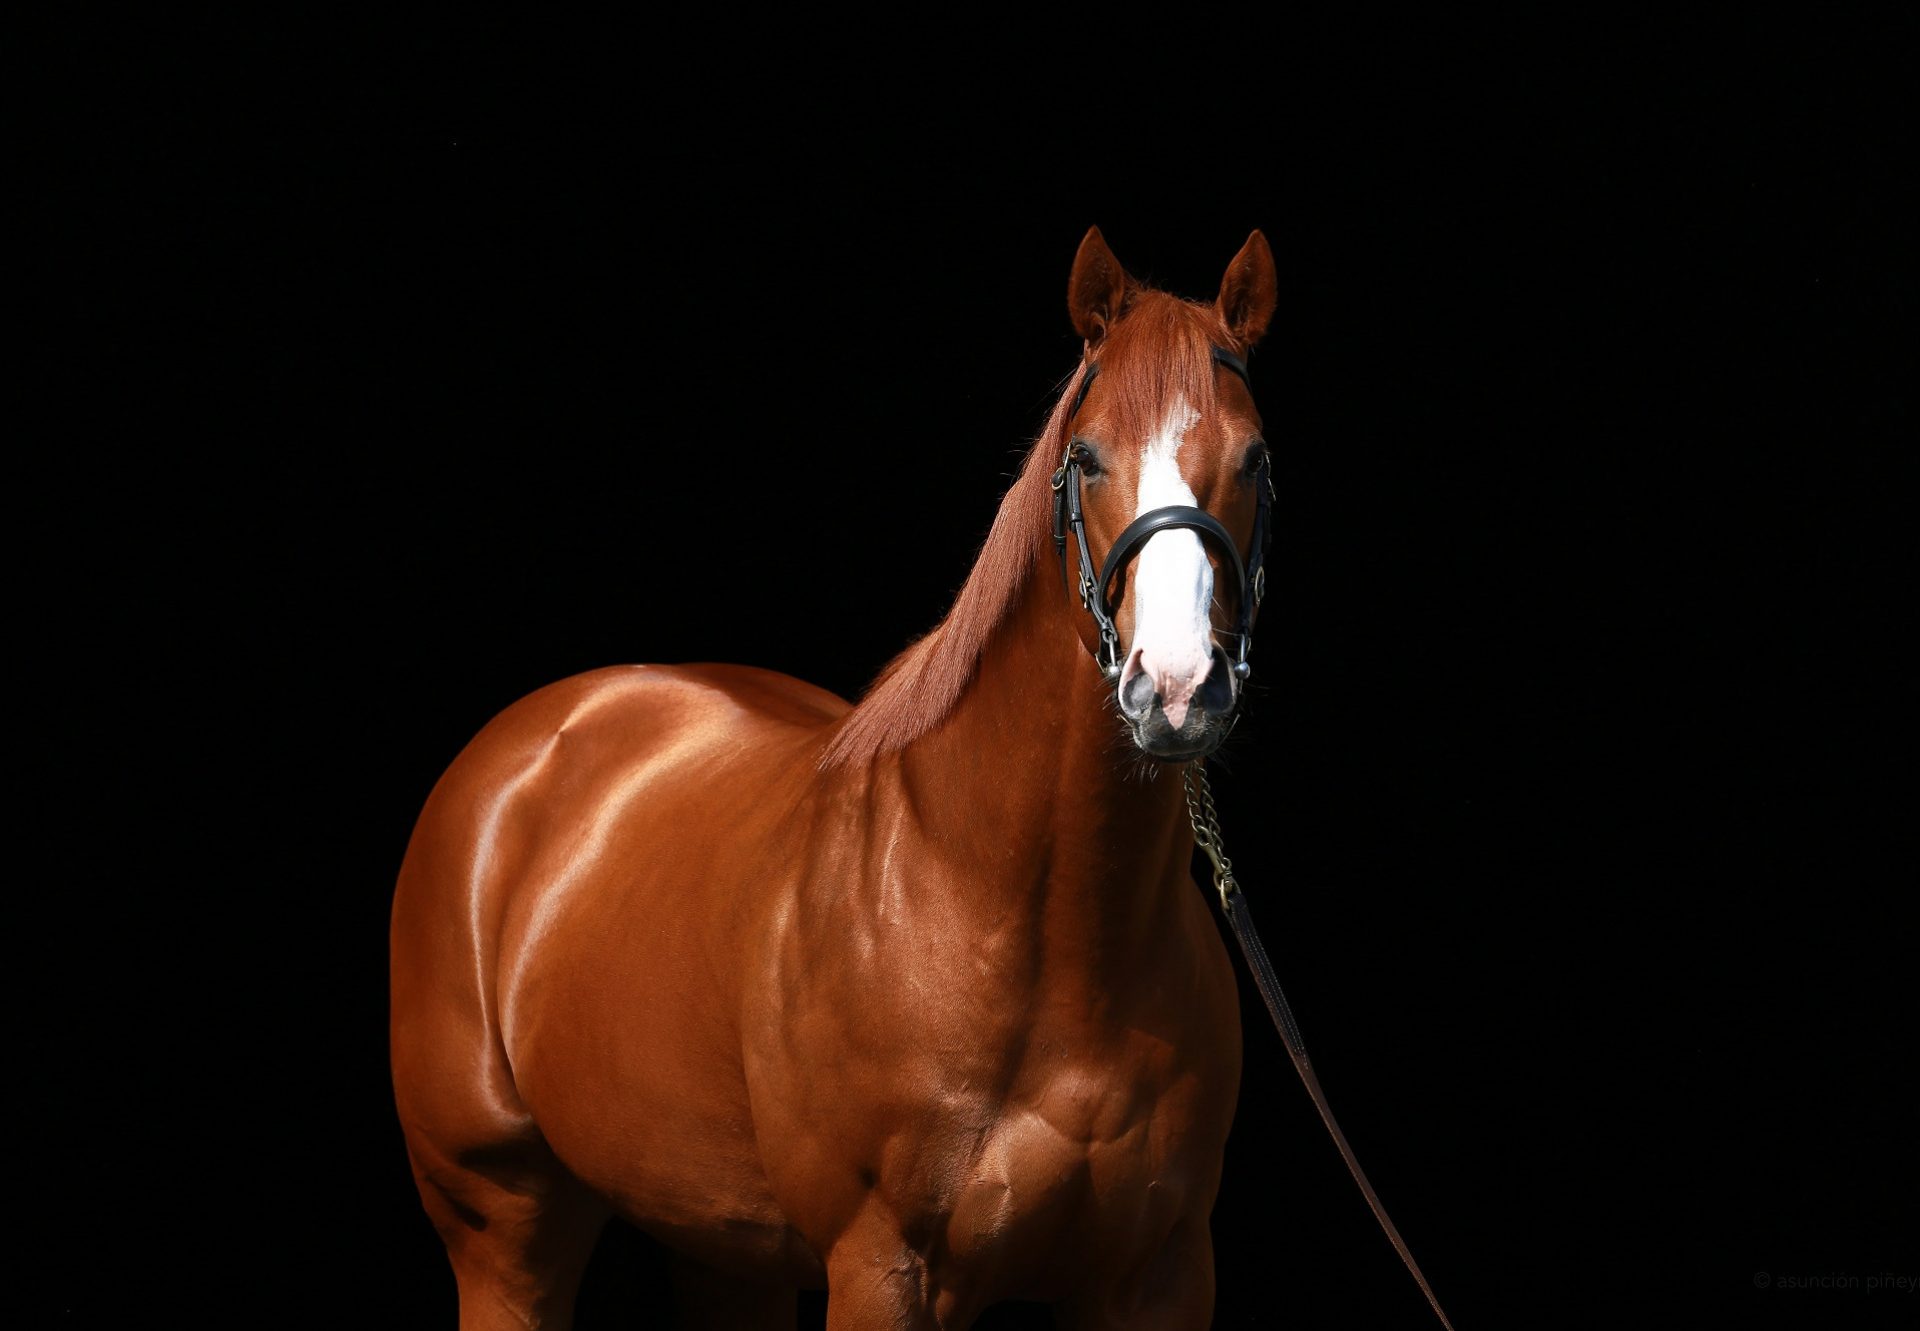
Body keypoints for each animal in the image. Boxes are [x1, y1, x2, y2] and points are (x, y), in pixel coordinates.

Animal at [393, 228, 1274, 1329]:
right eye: (1086, 456)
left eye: (1254, 459)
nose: (1179, 686)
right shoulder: (880, 1266)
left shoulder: (1160, 1276)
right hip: (502, 1228)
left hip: (725, 1245)